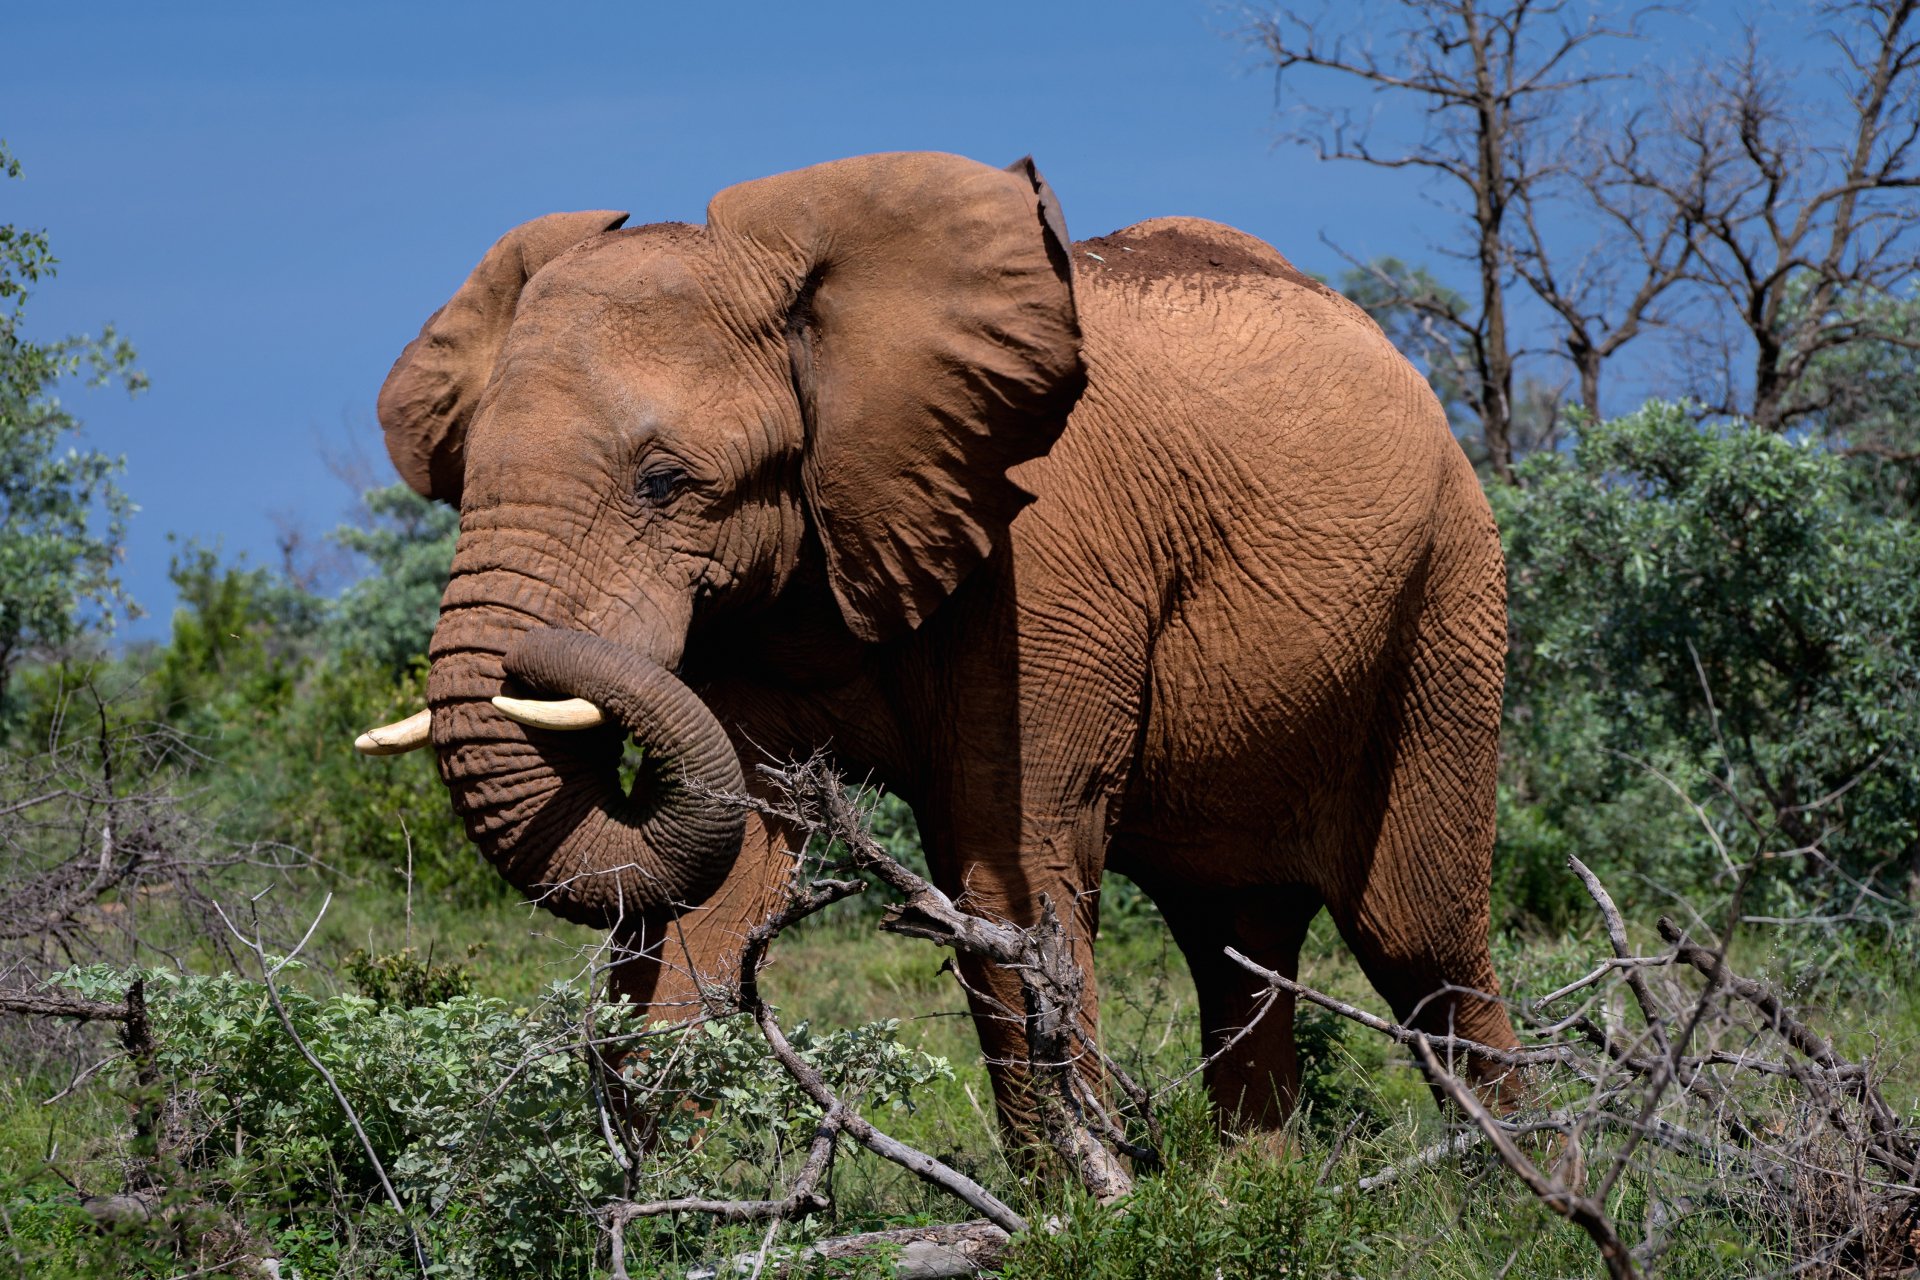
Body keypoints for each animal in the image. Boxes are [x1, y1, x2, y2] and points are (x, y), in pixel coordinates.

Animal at [354, 150, 1520, 1139]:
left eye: (664, 481)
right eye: (464, 474)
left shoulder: (1044, 559)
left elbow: (1008, 885)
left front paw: (1081, 1220)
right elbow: (714, 883)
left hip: (1449, 597)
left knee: (1422, 942)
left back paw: (1509, 1194)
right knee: (1235, 943)